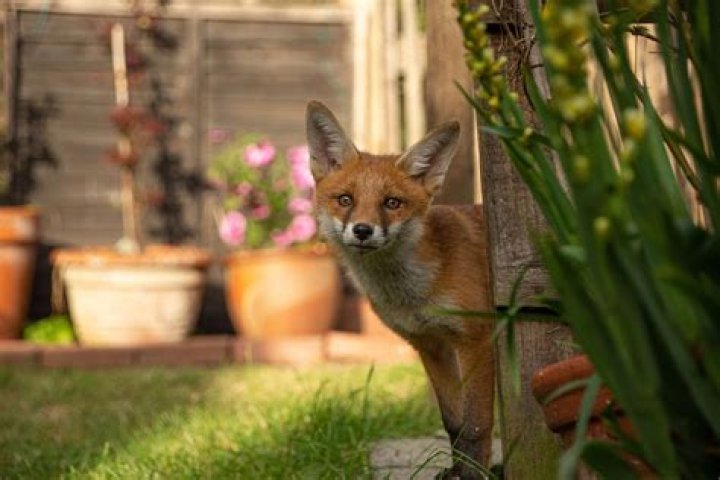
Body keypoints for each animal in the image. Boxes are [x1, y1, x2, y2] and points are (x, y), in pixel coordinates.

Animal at [306, 101, 494, 479]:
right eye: (345, 199)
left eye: (392, 203)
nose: (363, 230)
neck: (417, 293)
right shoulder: (431, 345)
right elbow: (454, 424)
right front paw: (456, 471)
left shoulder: (476, 339)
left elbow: (476, 427)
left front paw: (474, 474)